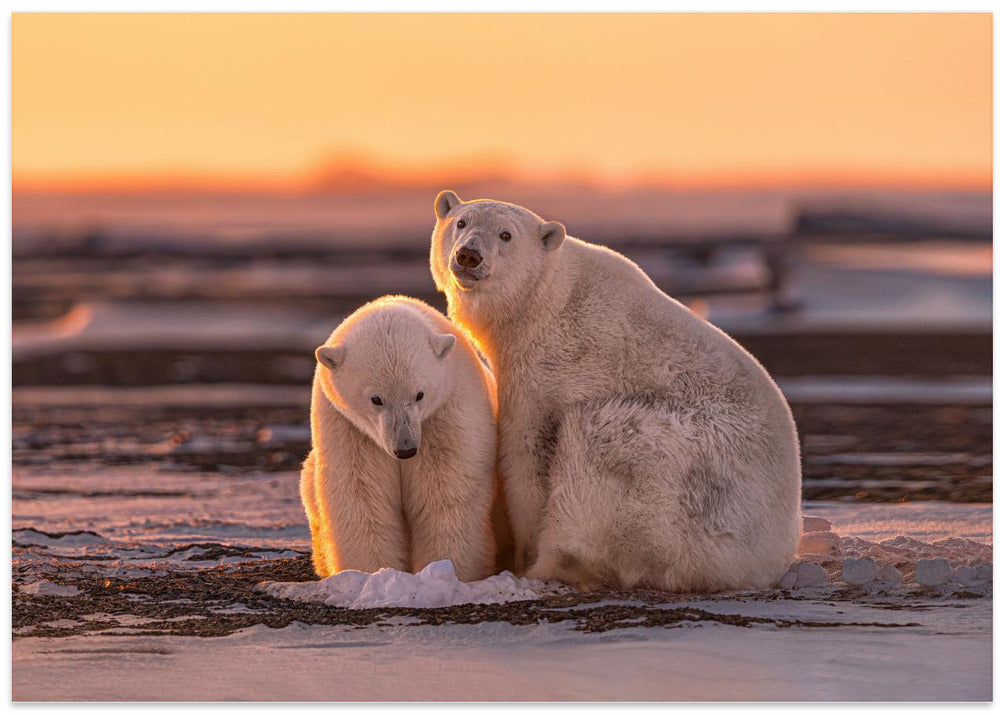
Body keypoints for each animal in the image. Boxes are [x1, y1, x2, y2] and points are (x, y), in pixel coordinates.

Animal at [300, 295, 508, 582]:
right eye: (376, 399)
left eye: (419, 394)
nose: (405, 449)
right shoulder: (348, 427)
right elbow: (360, 492)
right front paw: (373, 573)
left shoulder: (446, 413)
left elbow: (447, 487)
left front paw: (450, 570)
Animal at [430, 190, 802, 592]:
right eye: (461, 222)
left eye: (506, 235)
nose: (469, 255)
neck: (545, 302)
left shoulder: (550, 369)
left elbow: (526, 457)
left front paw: (521, 557)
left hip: (689, 480)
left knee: (602, 441)